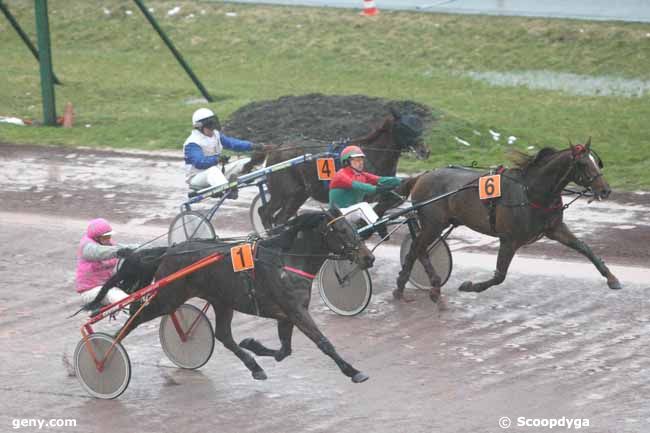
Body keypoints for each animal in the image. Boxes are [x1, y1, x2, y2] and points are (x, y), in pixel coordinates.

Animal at [85, 209, 374, 382]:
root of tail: (171, 250)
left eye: (354, 227)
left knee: (223, 335)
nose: (368, 258)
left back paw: (254, 367)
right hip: (168, 297)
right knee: (134, 317)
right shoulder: (295, 310)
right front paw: (354, 371)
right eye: (341, 231)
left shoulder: (287, 313)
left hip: (221, 301)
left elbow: (285, 349)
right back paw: (104, 355)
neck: (287, 260)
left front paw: (254, 345)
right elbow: (322, 342)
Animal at [253, 109, 430, 230]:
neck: (371, 154)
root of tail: (277, 147)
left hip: (299, 194)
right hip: (284, 192)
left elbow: (395, 198)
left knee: (280, 217)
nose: (425, 150)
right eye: (404, 127)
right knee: (266, 212)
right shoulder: (366, 193)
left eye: (419, 126)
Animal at [392, 138, 620, 300]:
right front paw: (470, 286)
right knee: (417, 249)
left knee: (419, 249)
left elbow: (584, 248)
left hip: (438, 225)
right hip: (433, 224)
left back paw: (423, 285)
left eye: (596, 162)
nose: (605, 190)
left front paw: (612, 278)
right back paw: (412, 287)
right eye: (582, 163)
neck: (531, 192)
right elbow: (499, 276)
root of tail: (421, 176)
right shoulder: (509, 239)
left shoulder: (555, 228)